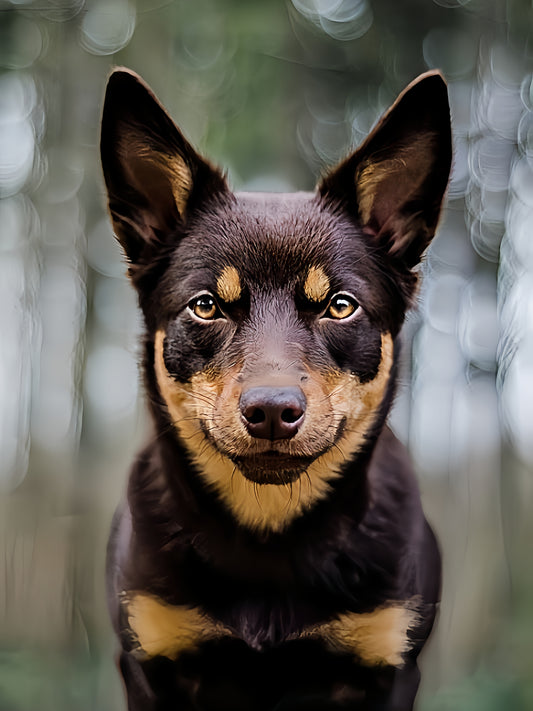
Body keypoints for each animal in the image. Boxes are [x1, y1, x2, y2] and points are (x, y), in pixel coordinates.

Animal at [100, 68, 448, 711]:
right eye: (205, 305)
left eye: (340, 305)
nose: (270, 410)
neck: (269, 535)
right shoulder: (149, 664)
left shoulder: (390, 669)